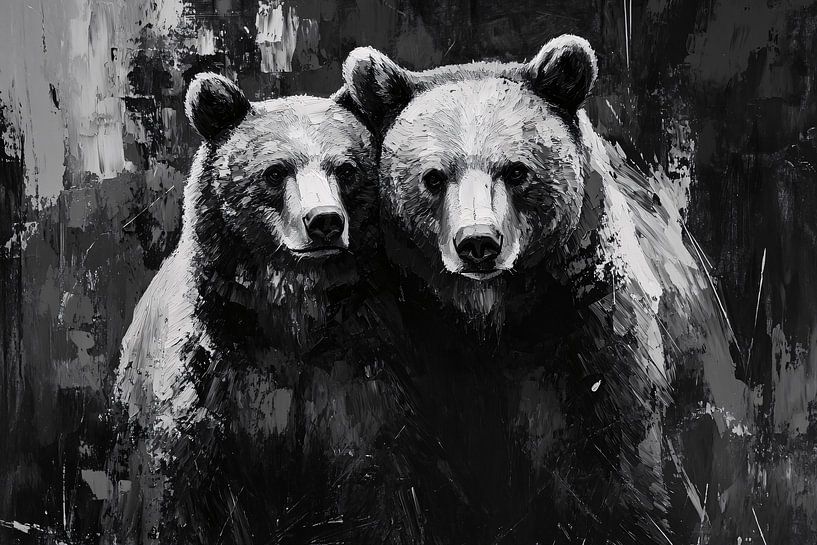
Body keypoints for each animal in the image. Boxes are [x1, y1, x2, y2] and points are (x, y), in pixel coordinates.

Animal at [105, 73, 424, 545]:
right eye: (275, 171)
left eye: (346, 169)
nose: (325, 221)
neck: (290, 323)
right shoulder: (209, 379)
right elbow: (176, 495)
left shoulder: (353, 371)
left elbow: (373, 482)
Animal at [340, 35, 738, 544]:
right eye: (433, 176)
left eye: (515, 171)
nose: (478, 243)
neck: (488, 315)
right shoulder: (402, 334)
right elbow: (391, 466)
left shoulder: (586, 324)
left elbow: (618, 464)